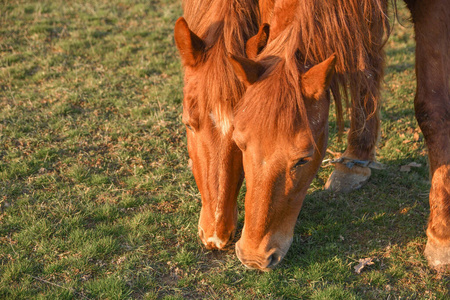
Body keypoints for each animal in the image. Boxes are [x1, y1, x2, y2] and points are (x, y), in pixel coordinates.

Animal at [229, 0, 450, 272]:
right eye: (239, 144)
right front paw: (355, 159)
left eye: (303, 159)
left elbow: (432, 110)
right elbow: (365, 71)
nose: (254, 257)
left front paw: (442, 236)